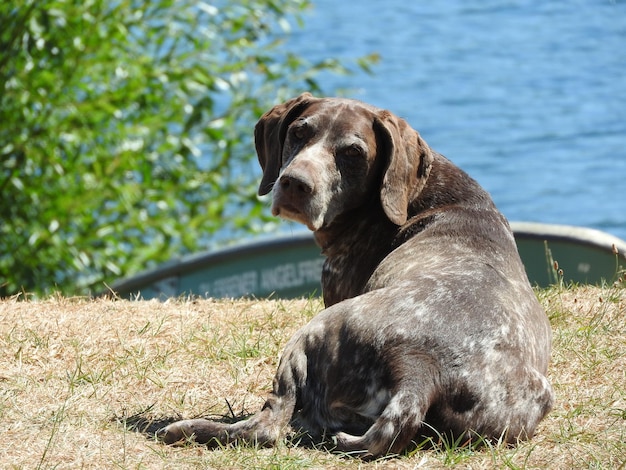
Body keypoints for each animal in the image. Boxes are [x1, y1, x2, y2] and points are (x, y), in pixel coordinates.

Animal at [156, 93, 552, 458]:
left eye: (353, 152)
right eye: (299, 133)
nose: (295, 183)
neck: (413, 198)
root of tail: (420, 373)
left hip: (311, 332)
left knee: (267, 426)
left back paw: (187, 429)